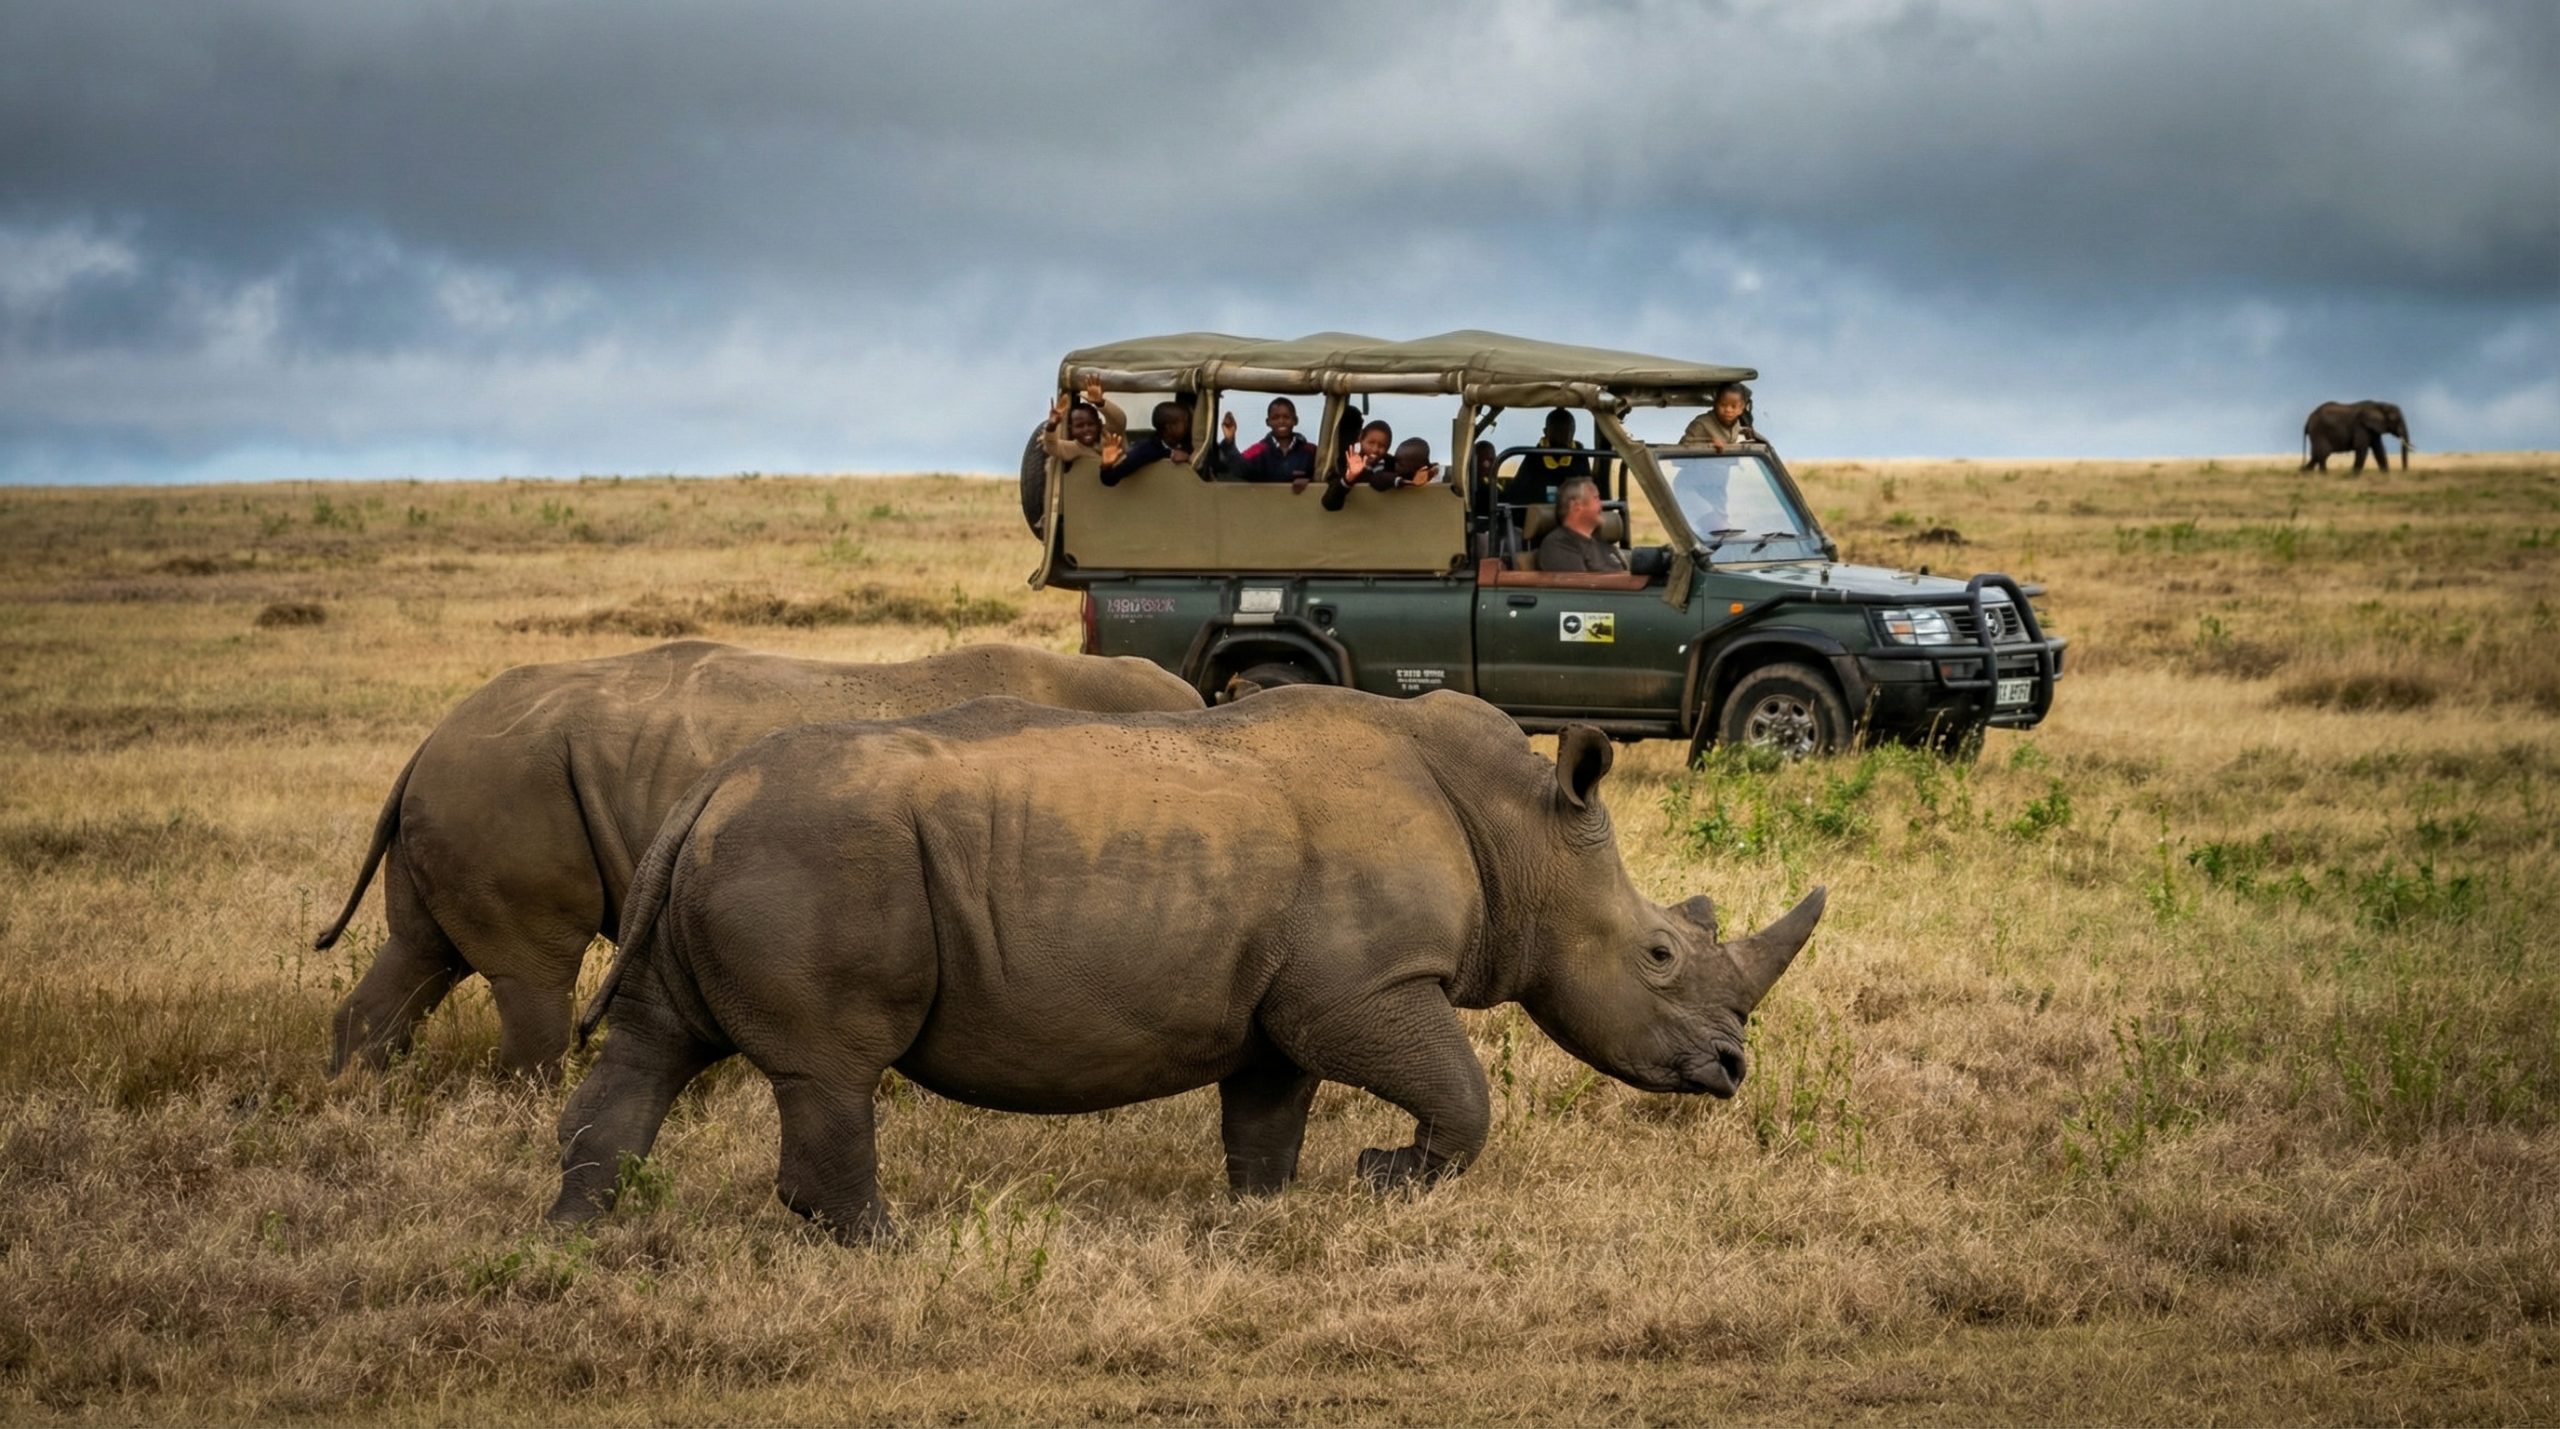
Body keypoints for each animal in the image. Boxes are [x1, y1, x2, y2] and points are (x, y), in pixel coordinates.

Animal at [315, 640, 1202, 1078]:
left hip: (471, 786)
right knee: (535, 971)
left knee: (422, 952)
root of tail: (429, 742)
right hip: (505, 782)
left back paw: (360, 1093)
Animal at [550, 686, 1824, 1240]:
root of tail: (712, 789)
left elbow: (1266, 1115)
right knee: (831, 1071)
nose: (1731, 1069)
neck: (1521, 829)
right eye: (1658, 953)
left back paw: (580, 1235)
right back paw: (882, 1245)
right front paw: (1382, 1177)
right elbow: (1464, 1098)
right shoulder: (1365, 987)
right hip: (813, 855)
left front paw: (1266, 1213)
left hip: (734, 848)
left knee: (654, 1044)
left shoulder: (1292, 998)